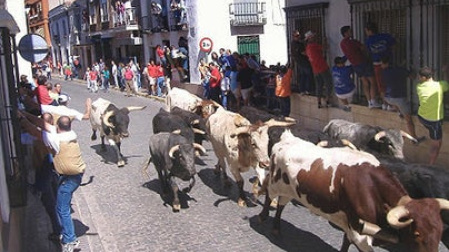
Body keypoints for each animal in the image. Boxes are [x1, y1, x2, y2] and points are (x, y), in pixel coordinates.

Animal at [258, 130, 448, 252]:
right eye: (417, 234)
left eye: (440, 233)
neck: (372, 187)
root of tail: (287, 137)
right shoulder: (360, 233)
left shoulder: (352, 224)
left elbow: (345, 241)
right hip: (276, 182)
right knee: (269, 195)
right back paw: (264, 217)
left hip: (290, 189)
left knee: (281, 205)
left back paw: (276, 227)